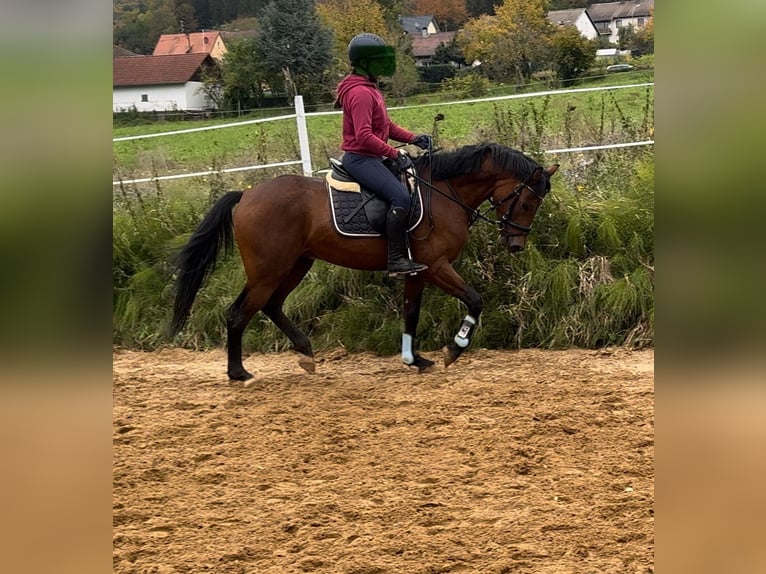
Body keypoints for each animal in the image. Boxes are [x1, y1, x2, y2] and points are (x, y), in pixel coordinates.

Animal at [171, 142, 560, 380]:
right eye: (527, 202)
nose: (516, 244)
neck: (444, 193)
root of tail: (247, 195)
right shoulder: (437, 266)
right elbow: (475, 300)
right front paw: (455, 348)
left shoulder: (418, 271)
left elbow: (411, 313)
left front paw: (415, 359)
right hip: (269, 270)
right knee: (239, 313)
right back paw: (239, 373)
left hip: (296, 264)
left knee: (271, 305)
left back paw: (305, 353)